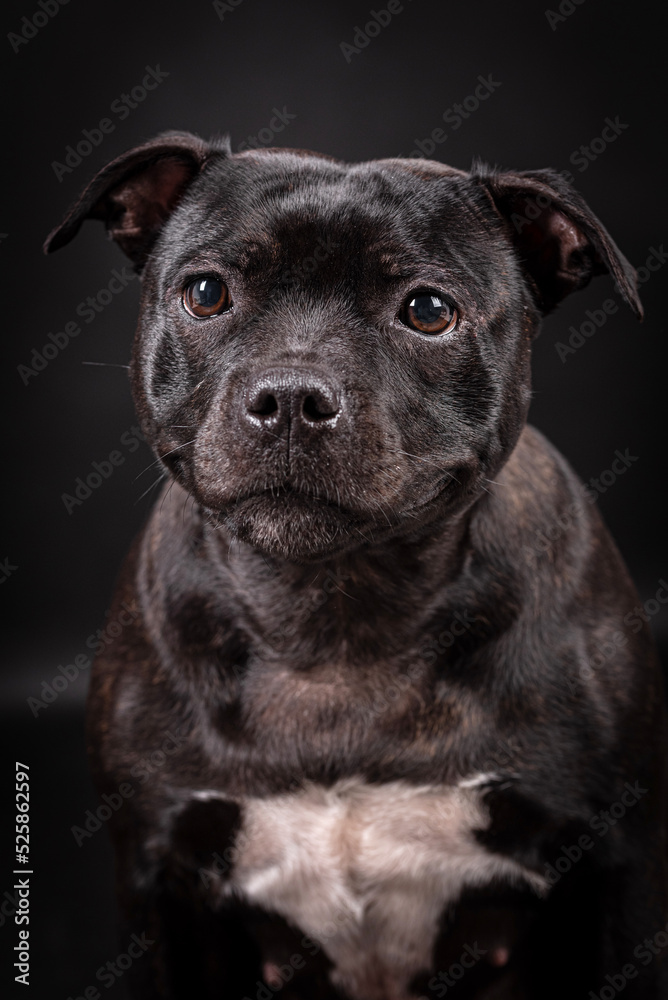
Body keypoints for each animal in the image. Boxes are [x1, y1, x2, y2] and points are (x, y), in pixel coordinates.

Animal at [47, 135, 668, 1000]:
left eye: (429, 311)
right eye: (206, 292)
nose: (290, 397)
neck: (334, 614)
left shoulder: (618, 869)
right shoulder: (156, 882)